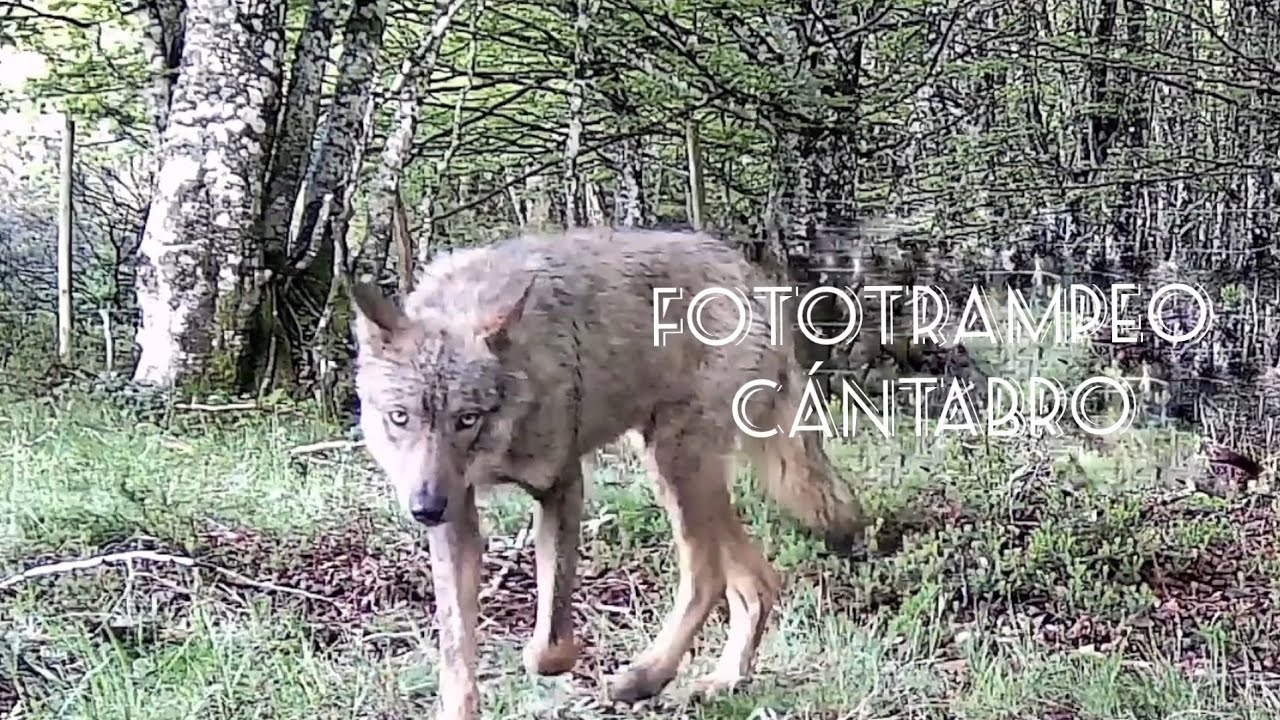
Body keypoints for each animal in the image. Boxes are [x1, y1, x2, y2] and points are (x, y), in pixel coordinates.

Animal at [350, 227, 876, 720]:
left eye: (466, 419)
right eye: (400, 418)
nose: (424, 508)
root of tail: (752, 276)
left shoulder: (560, 485)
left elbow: (548, 646)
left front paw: (552, 660)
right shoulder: (457, 513)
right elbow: (456, 650)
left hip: (675, 464)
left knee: (706, 577)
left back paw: (643, 677)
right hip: (676, 467)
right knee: (758, 581)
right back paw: (722, 680)